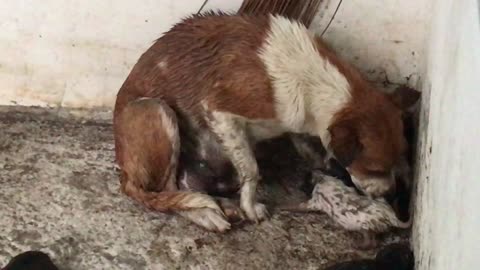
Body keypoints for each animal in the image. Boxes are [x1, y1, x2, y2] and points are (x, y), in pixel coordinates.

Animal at [112, 12, 420, 232]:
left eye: (401, 158)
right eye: (374, 168)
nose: (392, 192)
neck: (314, 81)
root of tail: (125, 173)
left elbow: (306, 147)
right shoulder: (221, 113)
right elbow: (251, 169)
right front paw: (251, 207)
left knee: (185, 186)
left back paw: (223, 204)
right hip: (157, 110)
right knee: (169, 190)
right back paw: (206, 214)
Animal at [280, 172, 410, 248]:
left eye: (304, 181)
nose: (298, 186)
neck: (322, 179)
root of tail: (391, 217)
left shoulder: (315, 201)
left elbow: (299, 206)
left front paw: (282, 207)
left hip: (365, 227)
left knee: (371, 243)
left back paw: (357, 245)